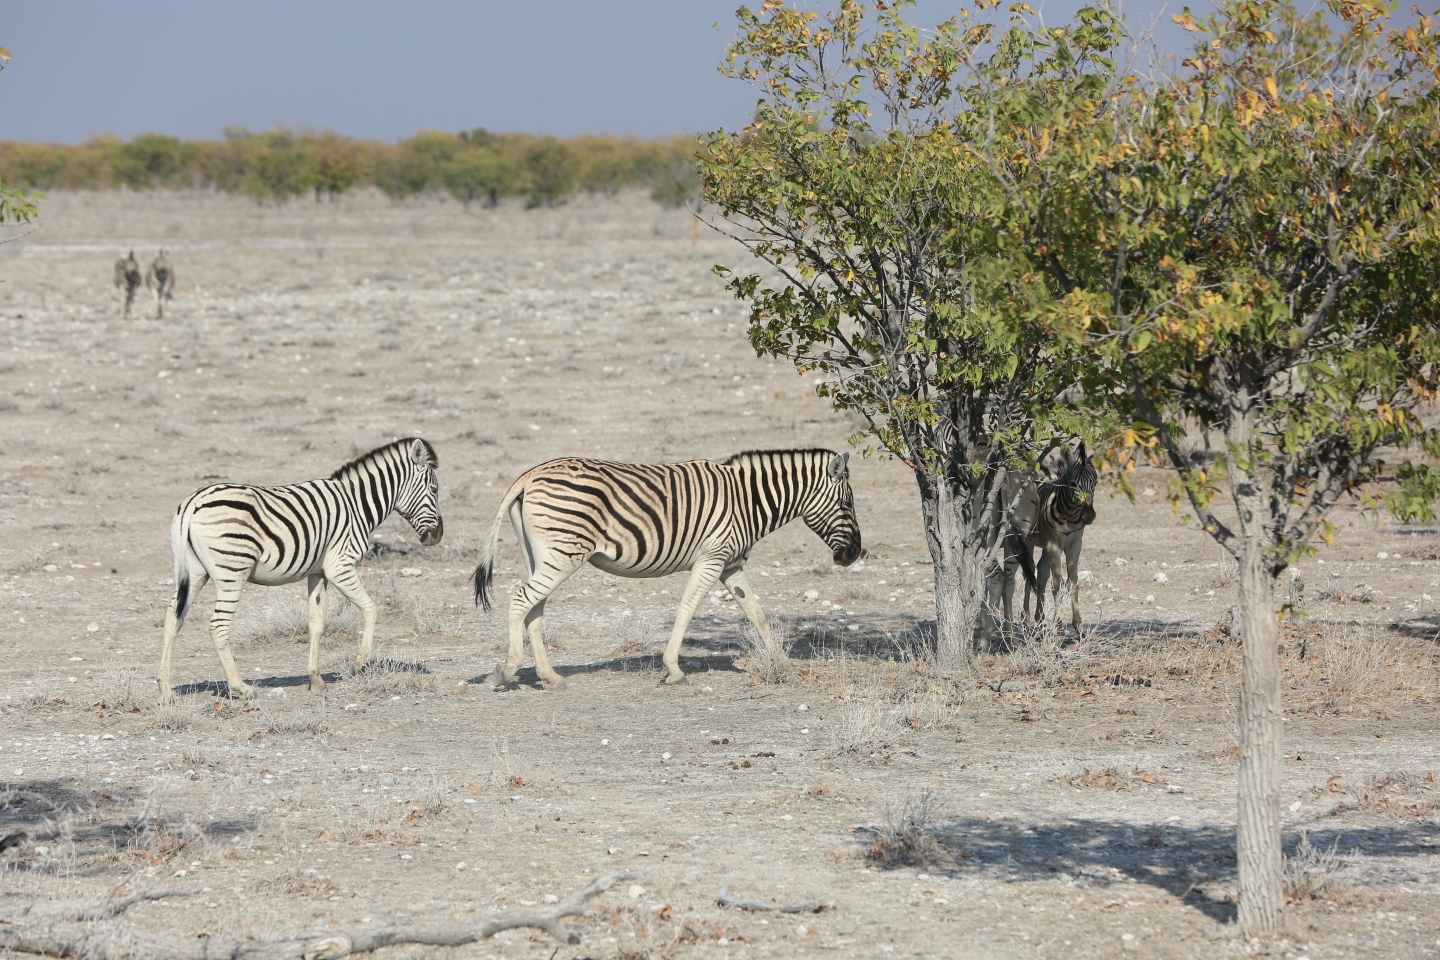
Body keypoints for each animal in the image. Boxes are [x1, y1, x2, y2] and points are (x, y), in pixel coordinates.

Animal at [154, 440, 440, 702]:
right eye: (435, 489)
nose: (437, 537)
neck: (356, 505)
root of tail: (192, 502)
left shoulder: (318, 573)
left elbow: (316, 622)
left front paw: (316, 679)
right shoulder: (340, 567)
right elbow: (370, 609)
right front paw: (356, 665)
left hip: (194, 572)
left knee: (172, 618)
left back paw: (165, 690)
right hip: (232, 571)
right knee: (217, 627)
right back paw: (241, 688)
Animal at [472, 451, 858, 690]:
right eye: (847, 503)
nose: (853, 555)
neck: (746, 501)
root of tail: (530, 475)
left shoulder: (730, 565)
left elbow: (756, 612)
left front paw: (782, 661)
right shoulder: (712, 559)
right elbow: (686, 609)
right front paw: (673, 670)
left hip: (541, 554)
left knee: (534, 609)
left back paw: (550, 677)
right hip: (563, 553)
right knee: (520, 599)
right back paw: (508, 669)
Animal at [1002, 440, 1100, 630]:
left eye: (1095, 482)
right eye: (1073, 483)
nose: (1089, 515)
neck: (1070, 515)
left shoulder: (1075, 545)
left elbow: (1073, 581)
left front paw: (1077, 623)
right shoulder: (1054, 546)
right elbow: (1056, 584)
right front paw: (1059, 624)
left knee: (1038, 573)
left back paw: (1037, 617)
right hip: (1026, 541)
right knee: (1024, 574)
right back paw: (1022, 618)